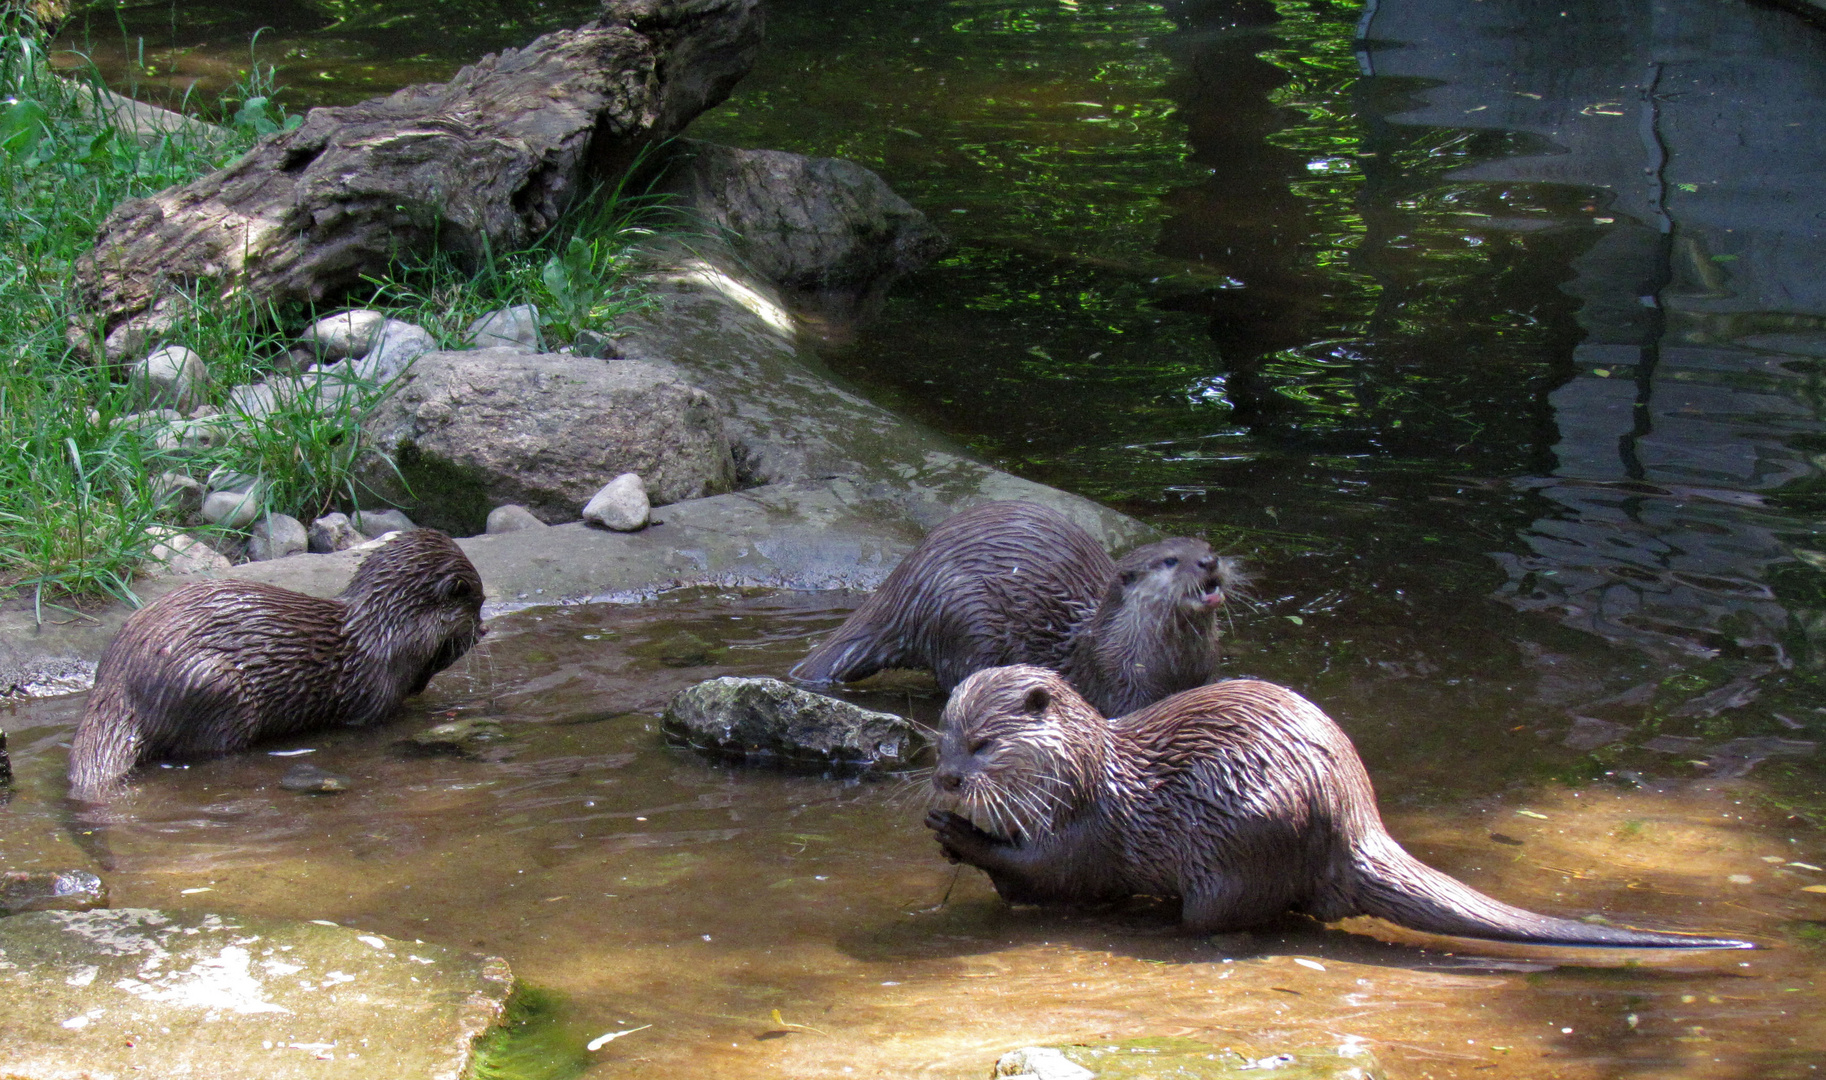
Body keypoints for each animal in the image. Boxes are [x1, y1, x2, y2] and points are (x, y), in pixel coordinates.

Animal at [69, 529, 485, 804]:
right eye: (476, 604)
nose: (484, 629)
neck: (386, 630)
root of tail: (119, 682)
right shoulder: (374, 699)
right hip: (215, 688)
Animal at [792, 500, 1248, 720]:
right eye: (1171, 560)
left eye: (1207, 547)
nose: (1209, 562)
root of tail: (906, 581)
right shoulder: (1121, 685)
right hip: (966, 620)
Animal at [927, 665, 1752, 950]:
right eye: (944, 735)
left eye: (984, 743)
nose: (944, 779)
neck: (1087, 777)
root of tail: (1355, 823)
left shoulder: (1090, 828)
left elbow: (1054, 875)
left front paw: (960, 834)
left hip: (1248, 842)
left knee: (1235, 914)